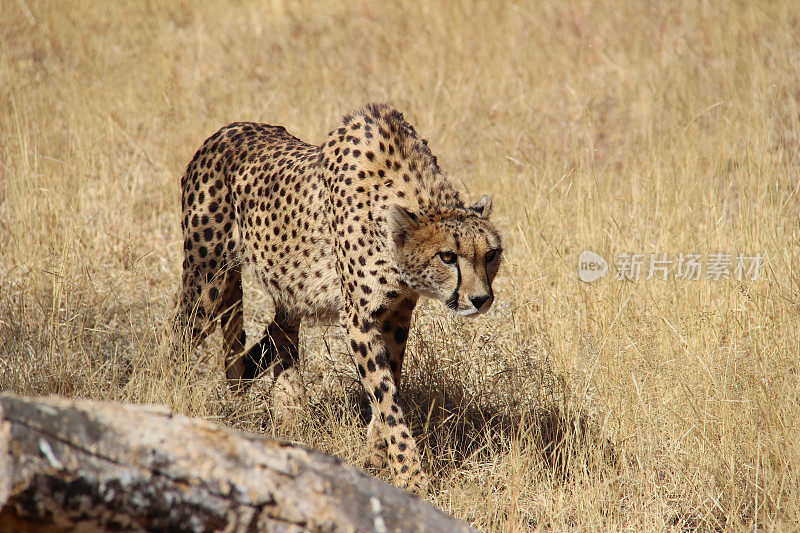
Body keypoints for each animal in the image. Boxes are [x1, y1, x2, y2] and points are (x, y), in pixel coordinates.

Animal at [173, 102, 504, 492]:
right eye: (448, 256)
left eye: (491, 254)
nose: (481, 299)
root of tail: (226, 130)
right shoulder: (359, 319)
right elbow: (386, 395)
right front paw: (411, 476)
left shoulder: (396, 313)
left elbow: (388, 383)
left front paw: (376, 455)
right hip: (208, 276)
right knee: (183, 331)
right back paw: (172, 396)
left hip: (291, 287)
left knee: (277, 334)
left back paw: (288, 408)